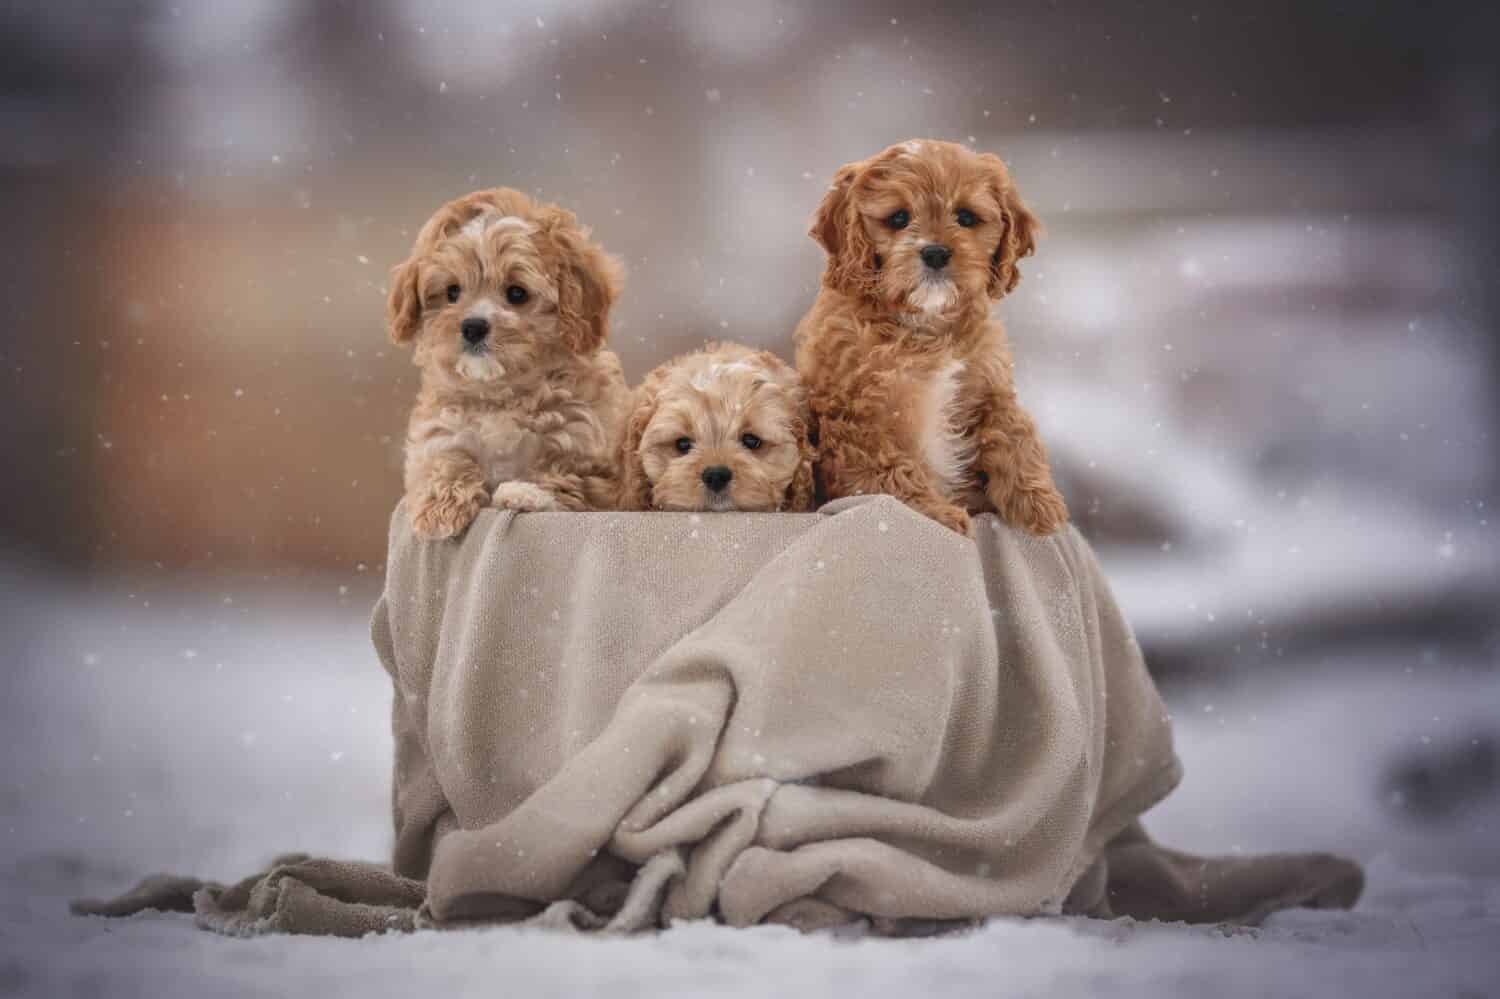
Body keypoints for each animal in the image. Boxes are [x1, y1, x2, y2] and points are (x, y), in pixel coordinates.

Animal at [387, 186, 627, 537]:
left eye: (516, 293)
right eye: (452, 292)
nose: (473, 326)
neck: (501, 395)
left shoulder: (594, 462)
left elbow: (561, 477)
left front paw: (523, 492)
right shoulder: (436, 434)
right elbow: (443, 458)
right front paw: (440, 505)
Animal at [798, 138, 1068, 537]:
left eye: (966, 217)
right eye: (898, 218)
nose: (936, 252)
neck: (927, 326)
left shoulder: (988, 384)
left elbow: (1012, 429)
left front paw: (1039, 502)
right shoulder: (855, 423)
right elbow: (891, 473)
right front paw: (938, 515)